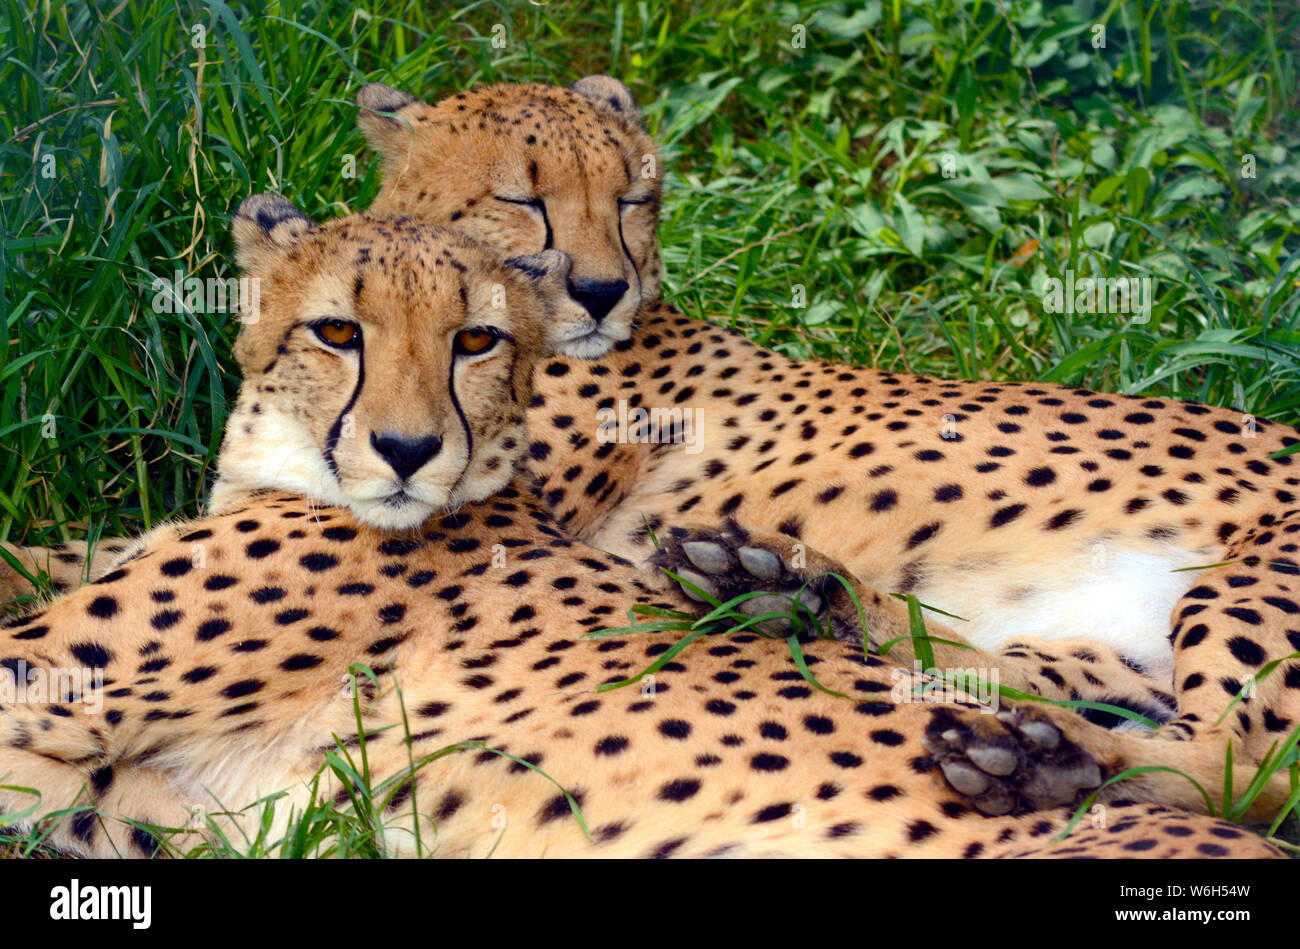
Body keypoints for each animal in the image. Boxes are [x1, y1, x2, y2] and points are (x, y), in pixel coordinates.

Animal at [10, 77, 1300, 826]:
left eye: (634, 198)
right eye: (522, 201)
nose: (597, 286)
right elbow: (80, 550)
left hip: (1254, 582)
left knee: (1249, 767)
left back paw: (1033, 760)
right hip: (1091, 645)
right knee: (1004, 673)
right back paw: (784, 593)